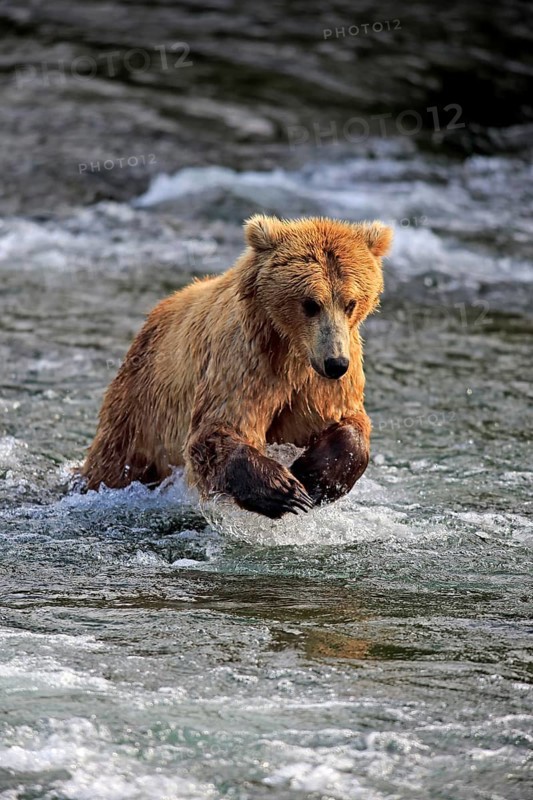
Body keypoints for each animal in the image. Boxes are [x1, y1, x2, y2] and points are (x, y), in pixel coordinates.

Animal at [81, 215, 392, 518]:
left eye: (350, 302)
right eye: (310, 303)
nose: (335, 363)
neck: (292, 352)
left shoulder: (322, 381)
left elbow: (344, 420)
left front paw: (313, 476)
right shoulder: (244, 361)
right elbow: (220, 429)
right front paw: (286, 490)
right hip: (141, 408)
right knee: (115, 463)